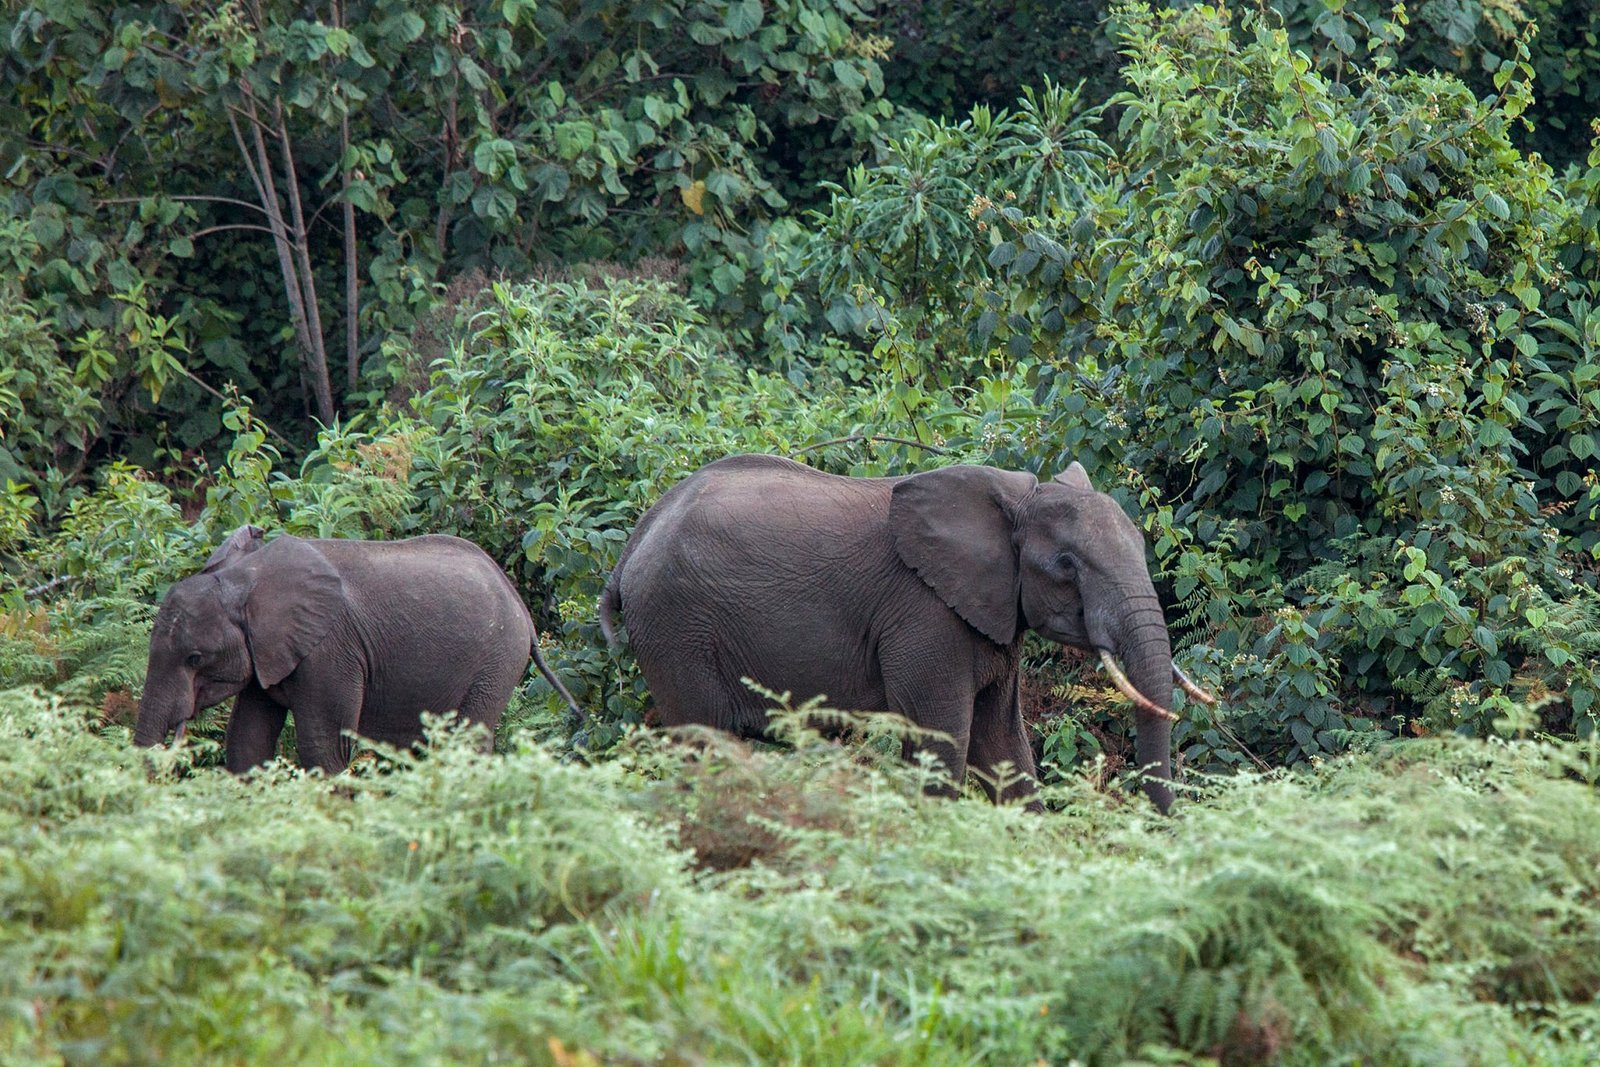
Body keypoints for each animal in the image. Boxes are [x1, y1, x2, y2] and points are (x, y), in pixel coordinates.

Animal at [134, 527, 579, 771]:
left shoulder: (331, 650)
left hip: (497, 661)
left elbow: (325, 745)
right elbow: (248, 739)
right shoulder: (268, 653)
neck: (246, 577)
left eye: (195, 659)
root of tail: (523, 610)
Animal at [601, 451, 1209, 809]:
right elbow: (944, 739)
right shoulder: (923, 614)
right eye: (1066, 567)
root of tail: (636, 538)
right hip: (676, 631)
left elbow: (1002, 745)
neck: (1013, 499)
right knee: (702, 742)